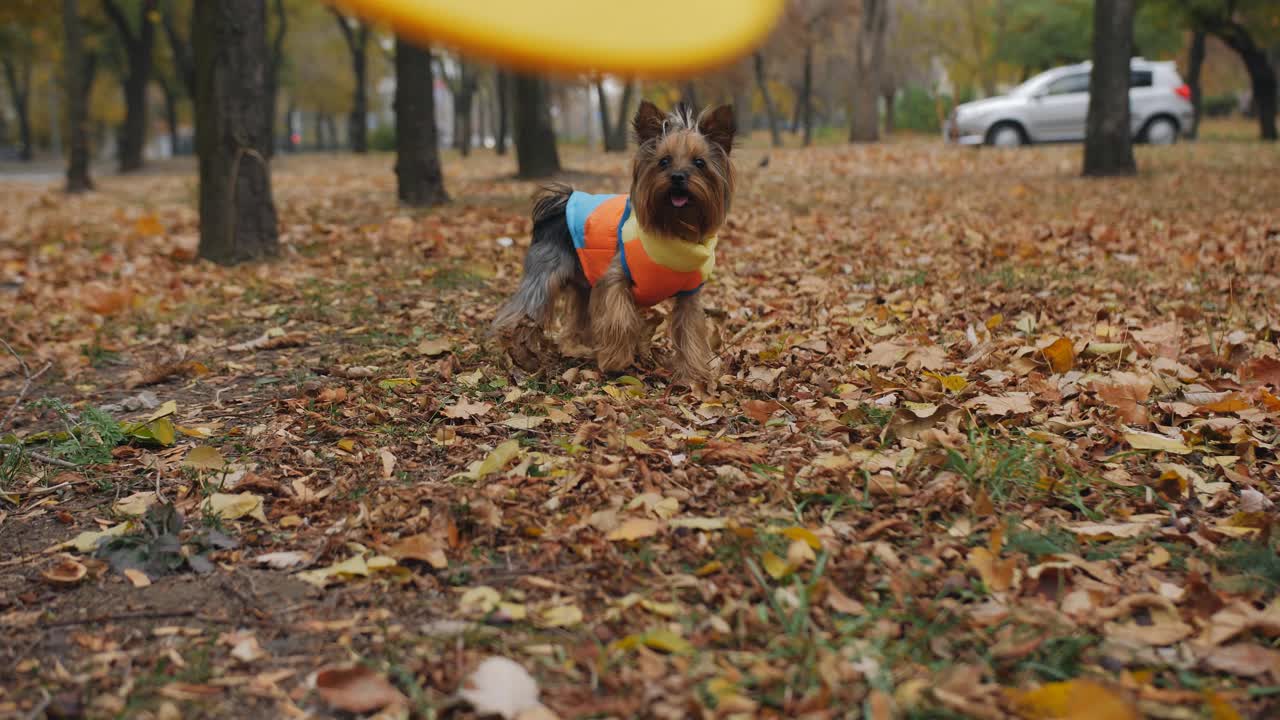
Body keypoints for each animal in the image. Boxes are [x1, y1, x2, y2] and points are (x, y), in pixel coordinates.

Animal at [491, 99, 737, 386]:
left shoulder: (689, 295)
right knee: (523, 310)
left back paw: (574, 348)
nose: (677, 176)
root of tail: (560, 204)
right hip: (545, 275)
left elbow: (690, 332)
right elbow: (620, 318)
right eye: (663, 161)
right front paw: (615, 361)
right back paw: (520, 354)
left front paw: (693, 375)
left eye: (700, 163)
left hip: (582, 283)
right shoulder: (614, 278)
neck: (674, 229)